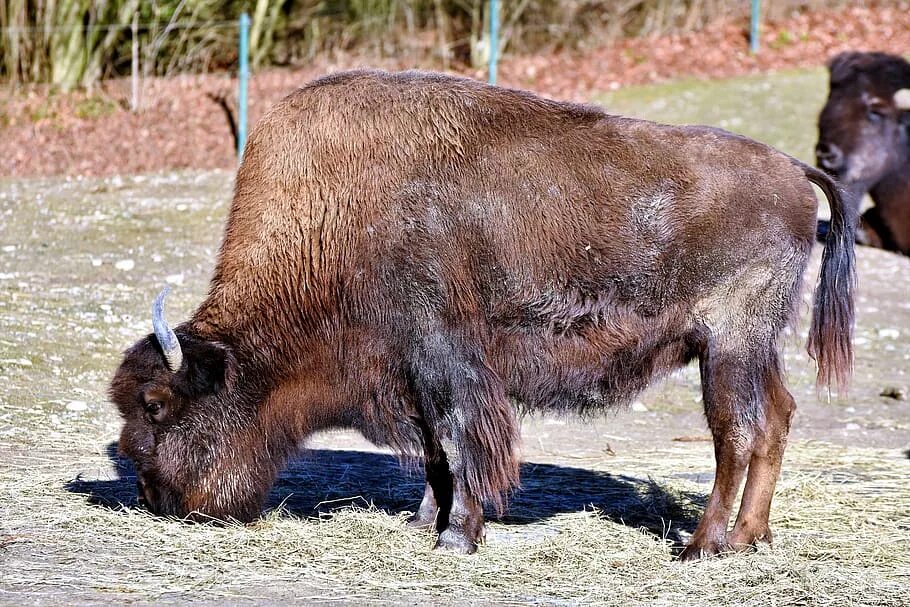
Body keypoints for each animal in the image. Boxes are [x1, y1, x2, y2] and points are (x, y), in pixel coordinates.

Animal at [110, 70, 860, 560]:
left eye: (156, 404)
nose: (152, 493)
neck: (339, 220)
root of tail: (793, 169)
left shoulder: (448, 361)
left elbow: (463, 441)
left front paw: (457, 535)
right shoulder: (411, 374)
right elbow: (435, 453)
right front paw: (425, 523)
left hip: (728, 344)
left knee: (737, 432)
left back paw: (704, 546)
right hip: (754, 346)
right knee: (777, 418)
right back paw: (752, 538)